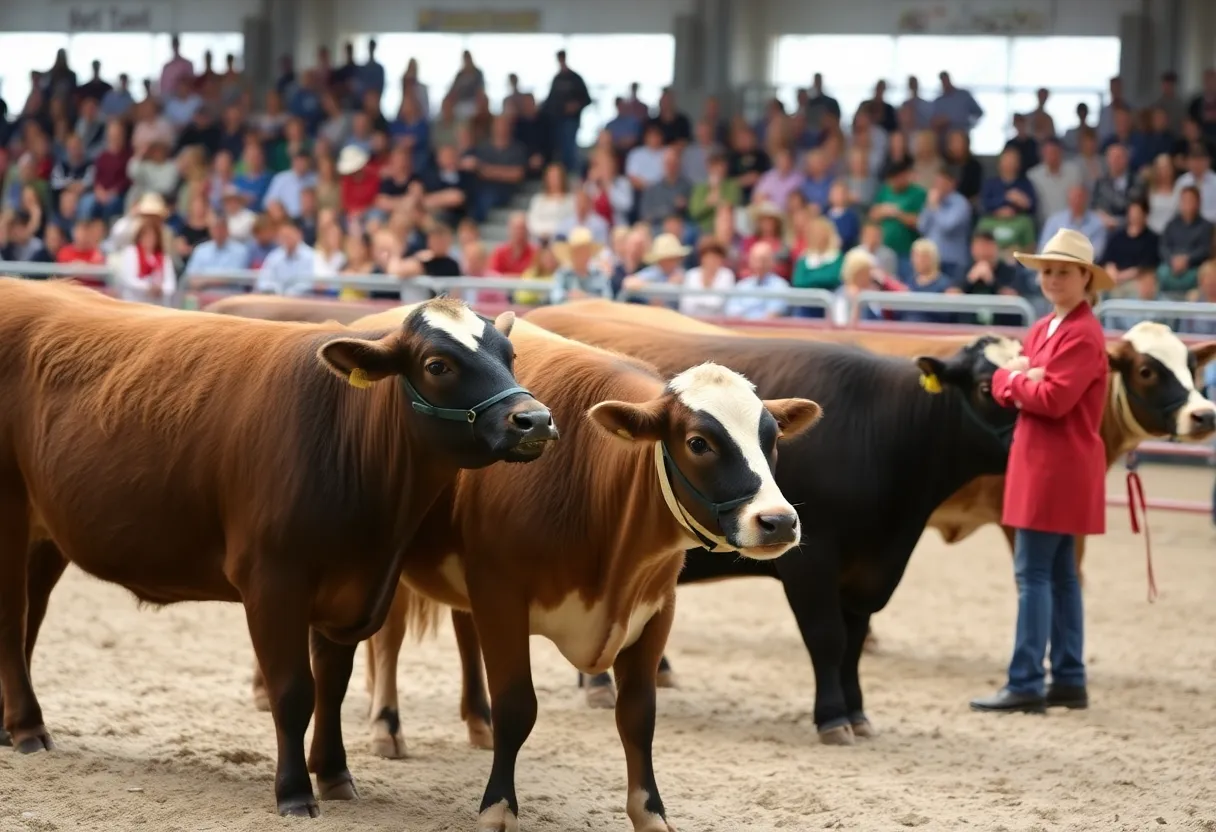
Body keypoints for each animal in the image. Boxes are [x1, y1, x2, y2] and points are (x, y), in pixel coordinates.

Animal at [0, 282, 556, 817]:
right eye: (438, 364)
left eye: (509, 354)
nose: (535, 420)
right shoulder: (272, 581)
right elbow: (292, 691)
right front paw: (294, 792)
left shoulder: (353, 586)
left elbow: (332, 683)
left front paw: (334, 773)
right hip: (10, 514)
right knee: (13, 617)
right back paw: (28, 727)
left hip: (46, 531)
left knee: (31, 613)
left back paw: (9, 724)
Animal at [246, 305, 822, 832]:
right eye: (699, 442)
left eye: (771, 439)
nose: (777, 521)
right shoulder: (501, 594)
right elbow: (517, 706)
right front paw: (497, 809)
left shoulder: (656, 609)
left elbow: (638, 716)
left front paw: (651, 814)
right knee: (386, 641)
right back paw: (381, 725)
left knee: (458, 635)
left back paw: (475, 723)